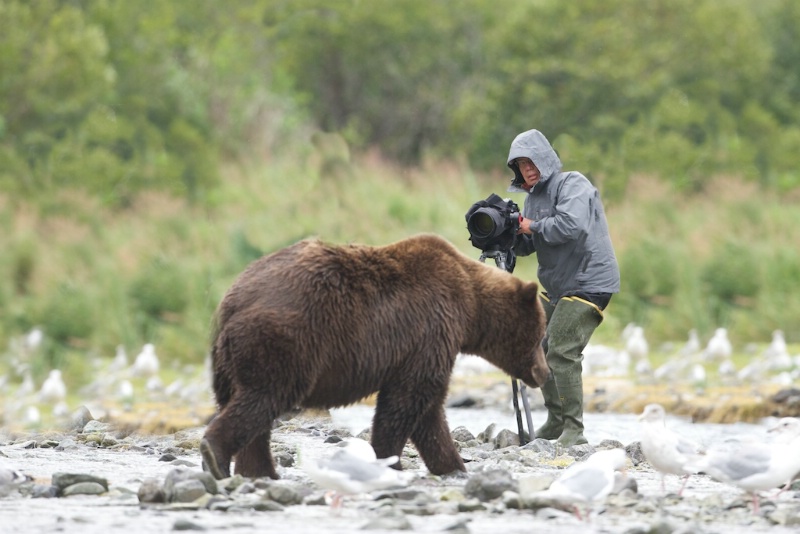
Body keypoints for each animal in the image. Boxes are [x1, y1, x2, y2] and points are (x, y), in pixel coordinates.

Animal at [200, 234, 552, 482]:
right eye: (539, 336)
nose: (544, 373)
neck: (469, 307)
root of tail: (234, 299)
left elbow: (428, 413)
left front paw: (453, 465)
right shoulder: (430, 331)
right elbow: (407, 402)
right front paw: (390, 461)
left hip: (227, 359)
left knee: (247, 405)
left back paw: (258, 471)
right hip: (286, 341)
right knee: (264, 397)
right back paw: (216, 456)